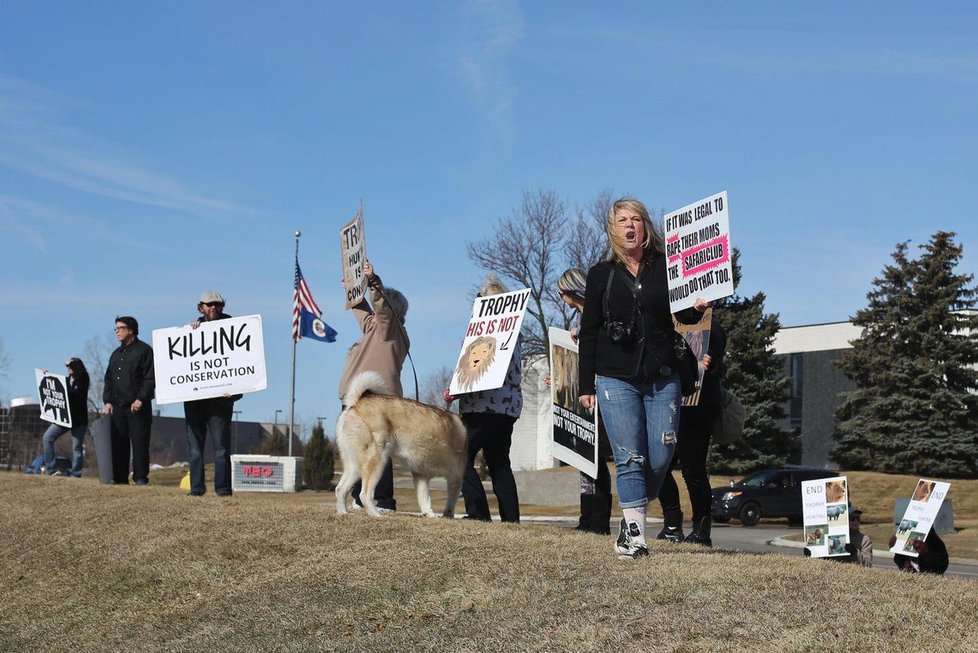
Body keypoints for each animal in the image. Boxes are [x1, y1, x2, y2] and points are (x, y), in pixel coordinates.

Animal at [336, 372, 466, 516]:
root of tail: (356, 403)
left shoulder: (422, 475)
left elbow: (424, 498)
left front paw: (429, 514)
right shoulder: (456, 477)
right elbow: (451, 501)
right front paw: (448, 514)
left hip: (354, 466)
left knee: (340, 489)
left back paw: (343, 513)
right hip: (377, 461)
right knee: (364, 494)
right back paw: (376, 514)